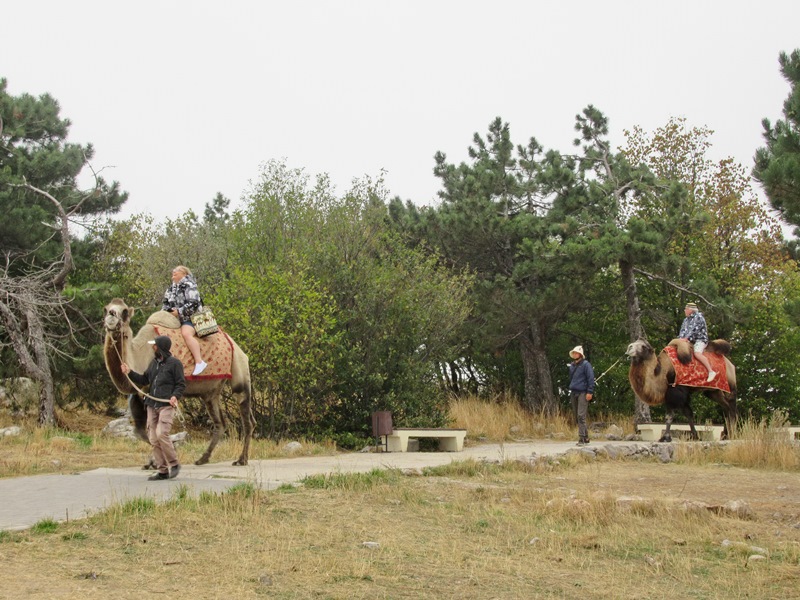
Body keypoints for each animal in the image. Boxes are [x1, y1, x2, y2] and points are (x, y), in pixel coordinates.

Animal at [101, 298, 255, 466]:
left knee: (246, 413)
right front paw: (153, 462)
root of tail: (234, 344)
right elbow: (141, 432)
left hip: (239, 368)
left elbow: (156, 429)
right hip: (211, 392)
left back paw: (241, 459)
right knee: (220, 422)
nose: (111, 314)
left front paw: (164, 458)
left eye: (124, 312)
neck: (141, 355)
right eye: (106, 308)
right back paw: (203, 459)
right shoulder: (140, 394)